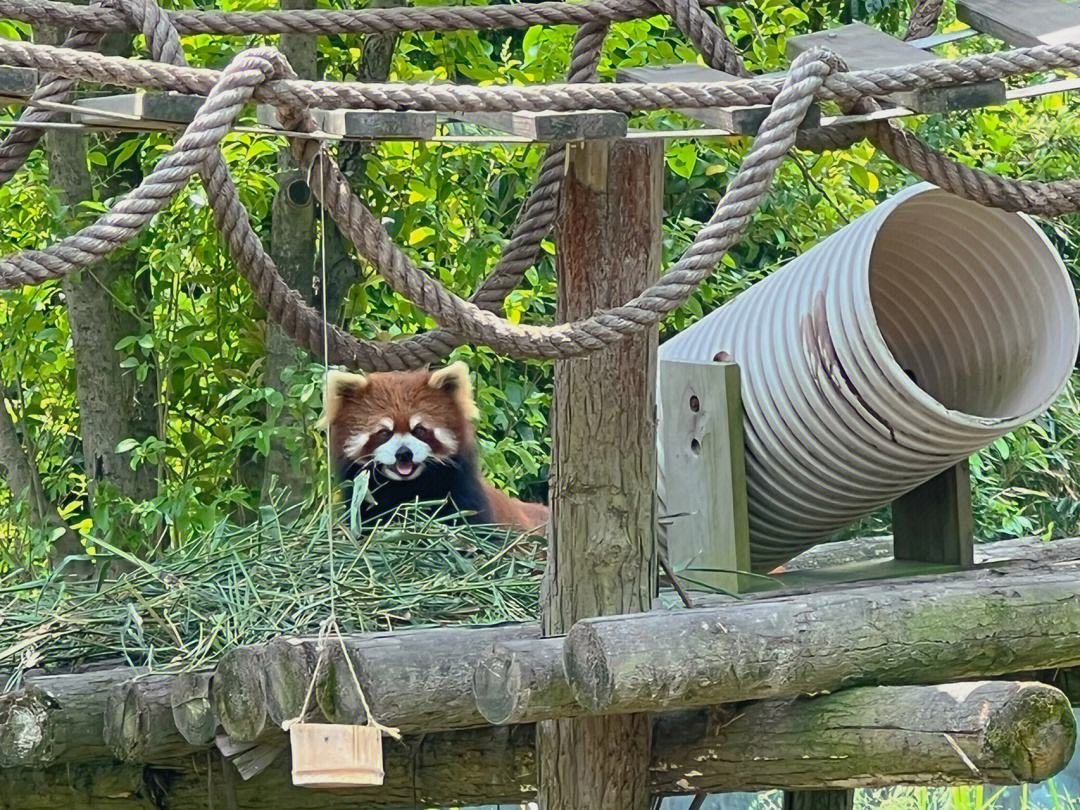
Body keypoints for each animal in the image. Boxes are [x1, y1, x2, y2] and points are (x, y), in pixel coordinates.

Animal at [315, 365, 544, 535]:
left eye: (419, 430)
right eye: (384, 432)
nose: (404, 453)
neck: (407, 489)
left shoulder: (465, 499)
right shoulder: (364, 506)